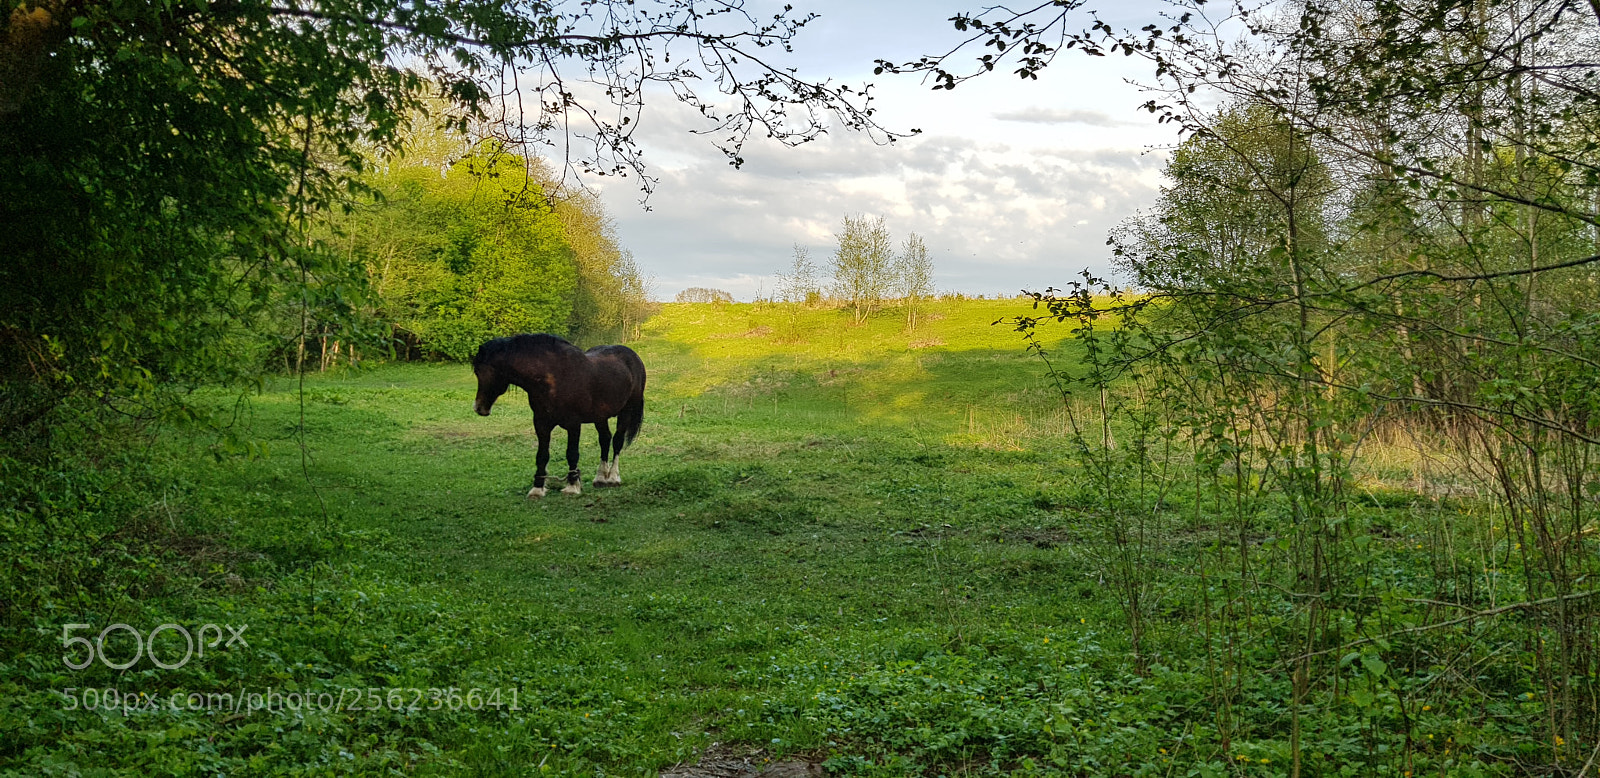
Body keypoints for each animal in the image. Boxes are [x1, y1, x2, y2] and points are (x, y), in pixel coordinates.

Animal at [471, 334, 646, 498]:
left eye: (479, 372)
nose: (479, 408)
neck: (553, 378)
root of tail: (633, 357)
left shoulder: (573, 424)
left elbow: (572, 454)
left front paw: (572, 486)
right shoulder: (541, 423)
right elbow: (542, 455)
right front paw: (537, 488)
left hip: (626, 411)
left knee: (617, 441)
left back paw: (613, 478)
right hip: (600, 416)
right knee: (605, 439)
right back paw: (601, 478)